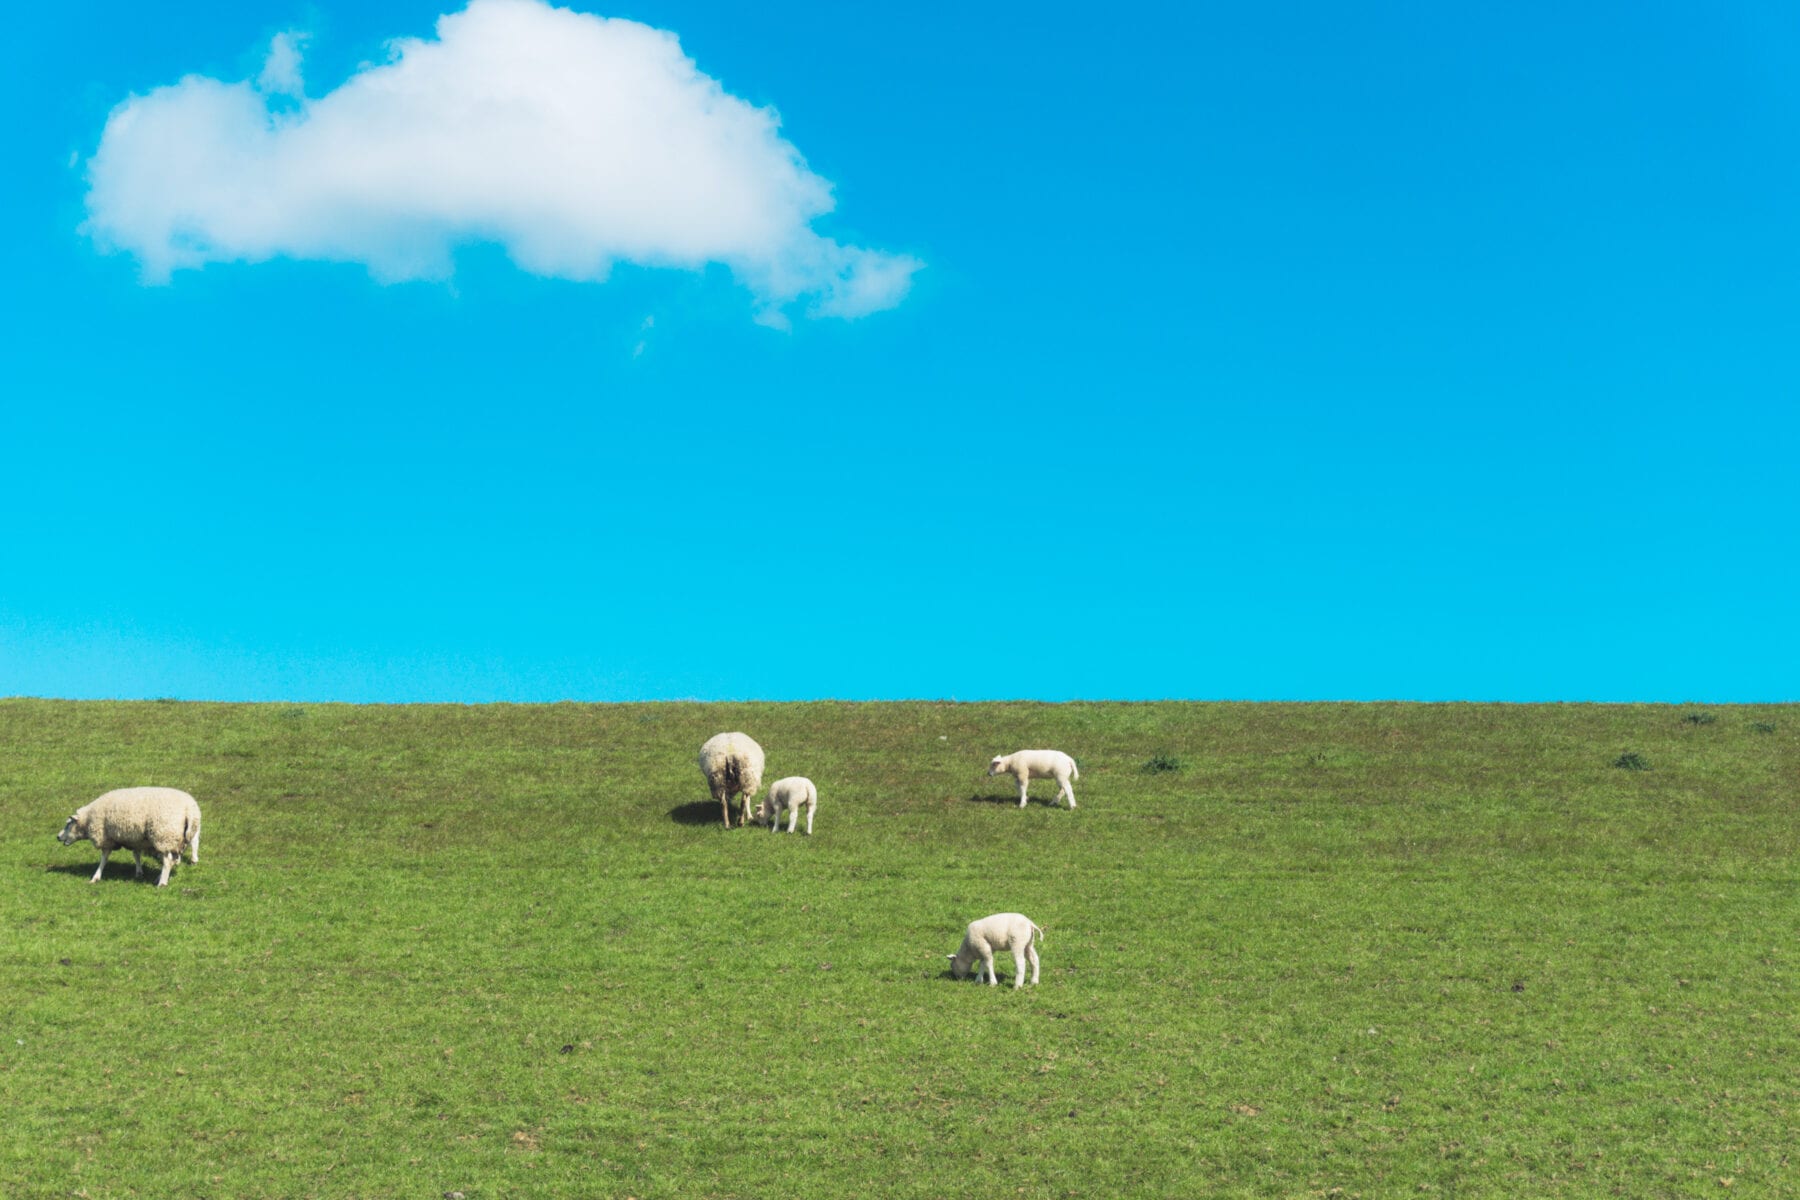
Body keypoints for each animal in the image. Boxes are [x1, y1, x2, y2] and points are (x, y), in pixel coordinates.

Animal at [57, 788, 204, 892]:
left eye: (68, 824)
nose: (58, 837)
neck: (88, 818)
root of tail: (189, 809)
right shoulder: (136, 839)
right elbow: (136, 855)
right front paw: (139, 872)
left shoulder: (106, 838)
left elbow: (104, 858)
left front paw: (96, 877)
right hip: (178, 838)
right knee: (177, 855)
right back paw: (162, 876)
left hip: (163, 835)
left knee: (167, 861)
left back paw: (162, 883)